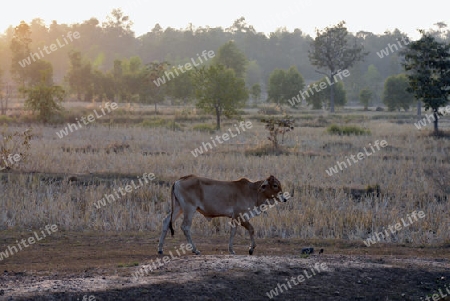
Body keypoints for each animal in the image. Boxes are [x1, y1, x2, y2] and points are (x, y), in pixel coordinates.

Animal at [157, 175, 288, 254]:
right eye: (275, 185)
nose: (284, 198)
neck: (253, 191)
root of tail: (178, 181)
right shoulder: (241, 216)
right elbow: (251, 229)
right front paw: (251, 249)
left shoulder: (235, 218)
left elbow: (233, 232)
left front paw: (231, 250)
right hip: (189, 209)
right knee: (185, 227)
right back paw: (195, 250)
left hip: (178, 208)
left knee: (166, 221)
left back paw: (160, 249)